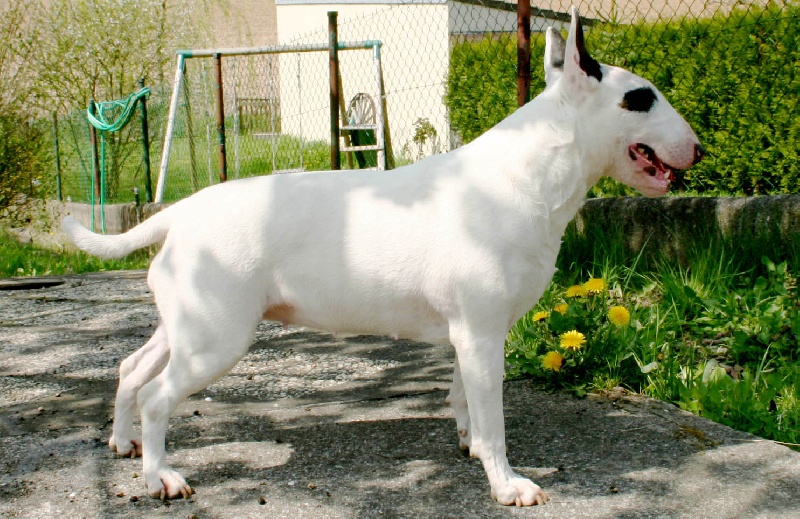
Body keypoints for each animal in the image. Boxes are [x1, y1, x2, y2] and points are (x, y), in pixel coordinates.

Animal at [62, 8, 703, 506]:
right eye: (640, 100)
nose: (698, 149)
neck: (528, 175)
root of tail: (181, 211)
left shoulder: (471, 333)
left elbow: (465, 401)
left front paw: (469, 446)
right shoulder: (481, 333)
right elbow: (494, 420)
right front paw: (507, 484)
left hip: (186, 324)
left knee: (131, 369)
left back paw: (125, 443)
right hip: (216, 338)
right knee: (156, 395)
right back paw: (160, 478)